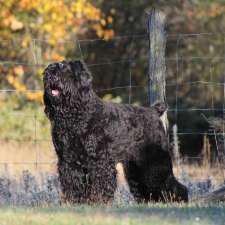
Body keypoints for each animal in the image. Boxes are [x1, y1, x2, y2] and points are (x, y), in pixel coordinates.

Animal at [42, 60, 188, 204]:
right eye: (48, 71)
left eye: (64, 69)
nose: (51, 76)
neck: (76, 115)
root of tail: (153, 111)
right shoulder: (68, 161)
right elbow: (72, 184)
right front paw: (74, 203)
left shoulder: (99, 160)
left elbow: (100, 184)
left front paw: (99, 202)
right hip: (134, 168)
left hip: (155, 161)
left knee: (173, 184)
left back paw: (179, 201)